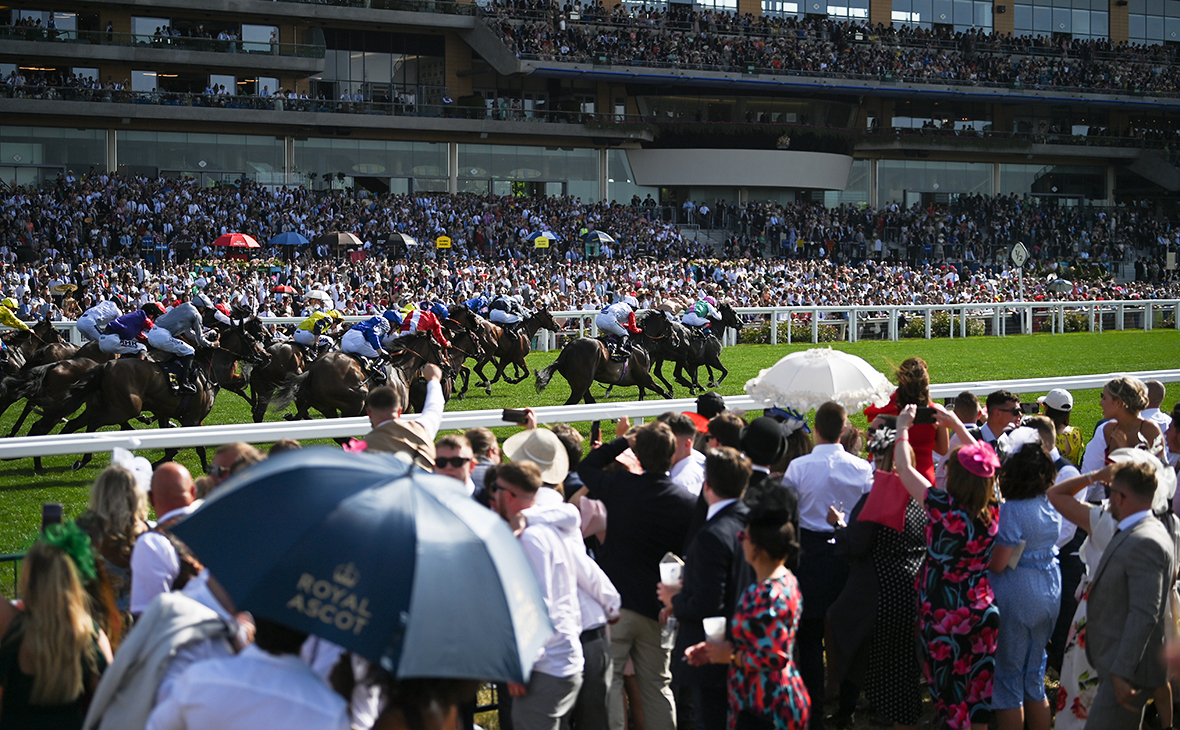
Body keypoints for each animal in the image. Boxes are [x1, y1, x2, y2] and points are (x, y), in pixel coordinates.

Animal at [533, 337, 670, 405]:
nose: (675, 342)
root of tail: (565, 352)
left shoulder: (641, 380)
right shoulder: (645, 378)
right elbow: (662, 391)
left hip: (582, 386)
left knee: (589, 401)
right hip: (580, 387)